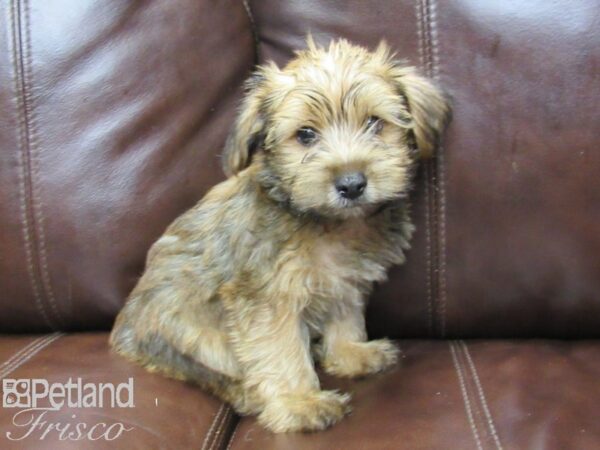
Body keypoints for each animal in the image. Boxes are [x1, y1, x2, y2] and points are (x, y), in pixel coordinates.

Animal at [111, 37, 450, 432]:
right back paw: (249, 392)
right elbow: (280, 348)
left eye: (374, 123)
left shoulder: (344, 280)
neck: (328, 224)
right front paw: (299, 402)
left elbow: (345, 315)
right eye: (305, 134)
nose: (351, 184)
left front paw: (350, 352)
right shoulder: (268, 299)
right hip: (189, 331)